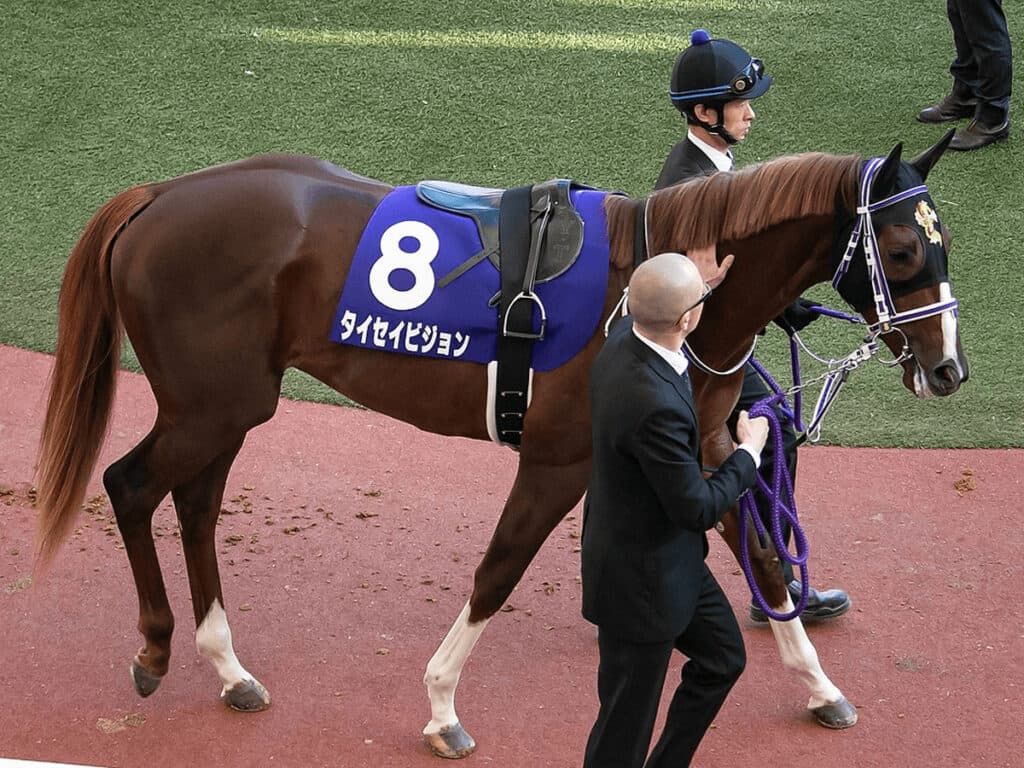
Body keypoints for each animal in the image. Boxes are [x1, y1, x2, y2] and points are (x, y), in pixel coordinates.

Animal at [35, 130, 966, 758]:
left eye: (944, 242)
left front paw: (821, 689)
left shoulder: (702, 452)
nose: (949, 368)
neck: (660, 283)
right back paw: (156, 649)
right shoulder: (562, 460)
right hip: (209, 405)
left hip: (229, 407)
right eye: (903, 248)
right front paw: (443, 707)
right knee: (129, 485)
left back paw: (228, 669)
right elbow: (499, 568)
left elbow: (764, 557)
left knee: (193, 504)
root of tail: (158, 194)